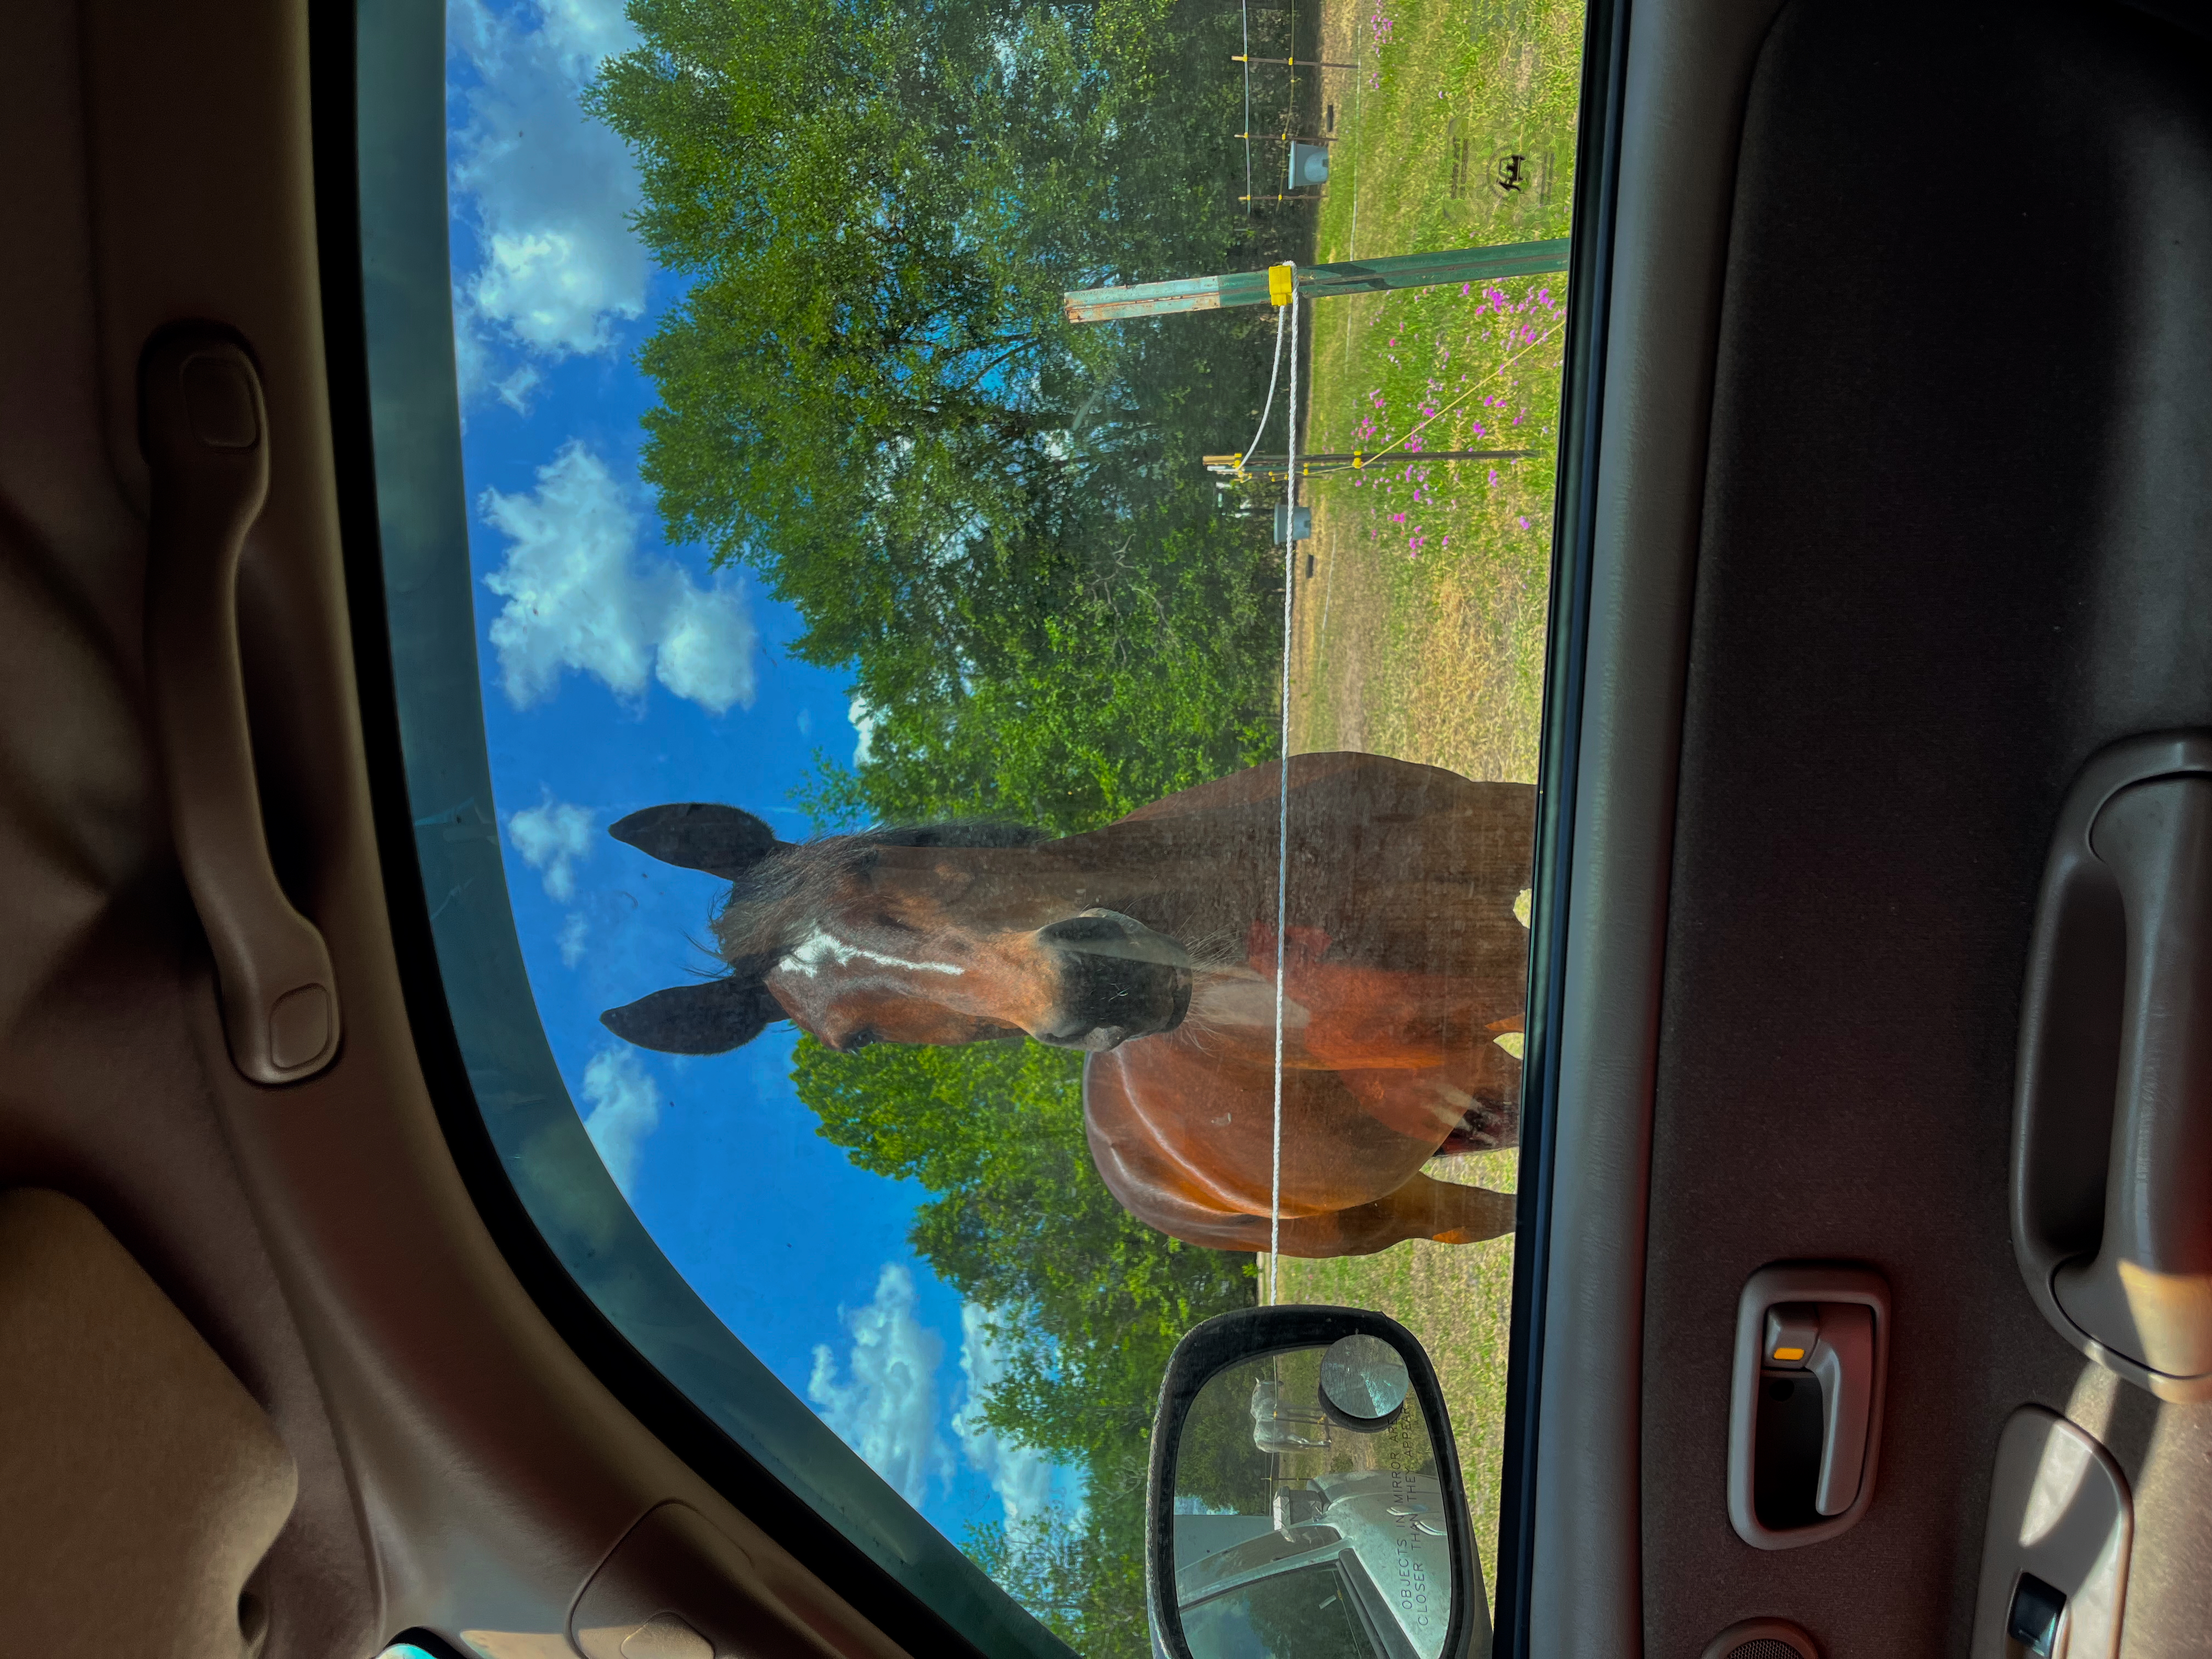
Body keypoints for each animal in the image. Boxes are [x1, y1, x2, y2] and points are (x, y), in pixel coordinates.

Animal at [600, 751, 1534, 1258]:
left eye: (877, 859)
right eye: (854, 1042)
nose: (1100, 985)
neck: (1268, 880)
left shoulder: (1505, 822)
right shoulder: (1493, 984)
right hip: (1390, 1200)